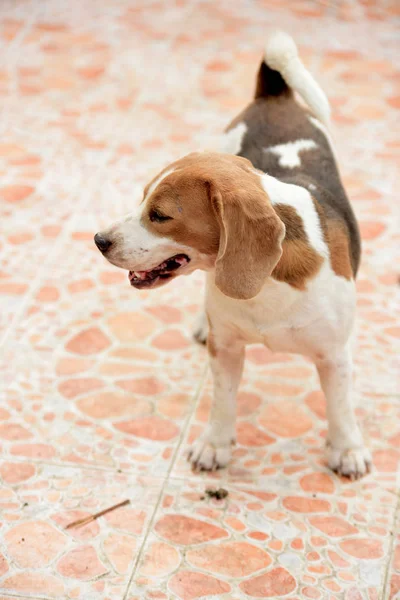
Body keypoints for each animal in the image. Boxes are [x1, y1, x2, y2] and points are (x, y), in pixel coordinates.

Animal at [96, 34, 372, 482]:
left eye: (160, 215)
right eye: (142, 200)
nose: (99, 240)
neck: (266, 286)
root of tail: (274, 94)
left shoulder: (333, 356)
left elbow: (340, 406)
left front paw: (347, 449)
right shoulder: (225, 348)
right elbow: (222, 401)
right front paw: (215, 444)